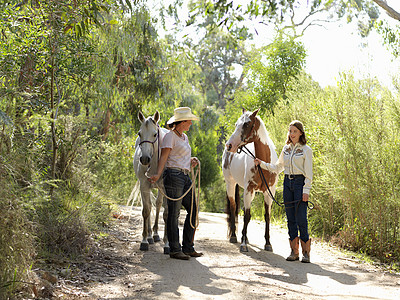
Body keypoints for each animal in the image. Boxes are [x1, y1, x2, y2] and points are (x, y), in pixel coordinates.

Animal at [222, 109, 278, 252]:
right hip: (231, 184)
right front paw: (243, 244)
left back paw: (245, 237)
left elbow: (267, 216)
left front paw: (268, 243)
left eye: (246, 124)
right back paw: (234, 236)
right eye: (236, 124)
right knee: (233, 207)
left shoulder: (269, 192)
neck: (264, 163)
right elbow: (247, 216)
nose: (229, 145)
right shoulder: (249, 189)